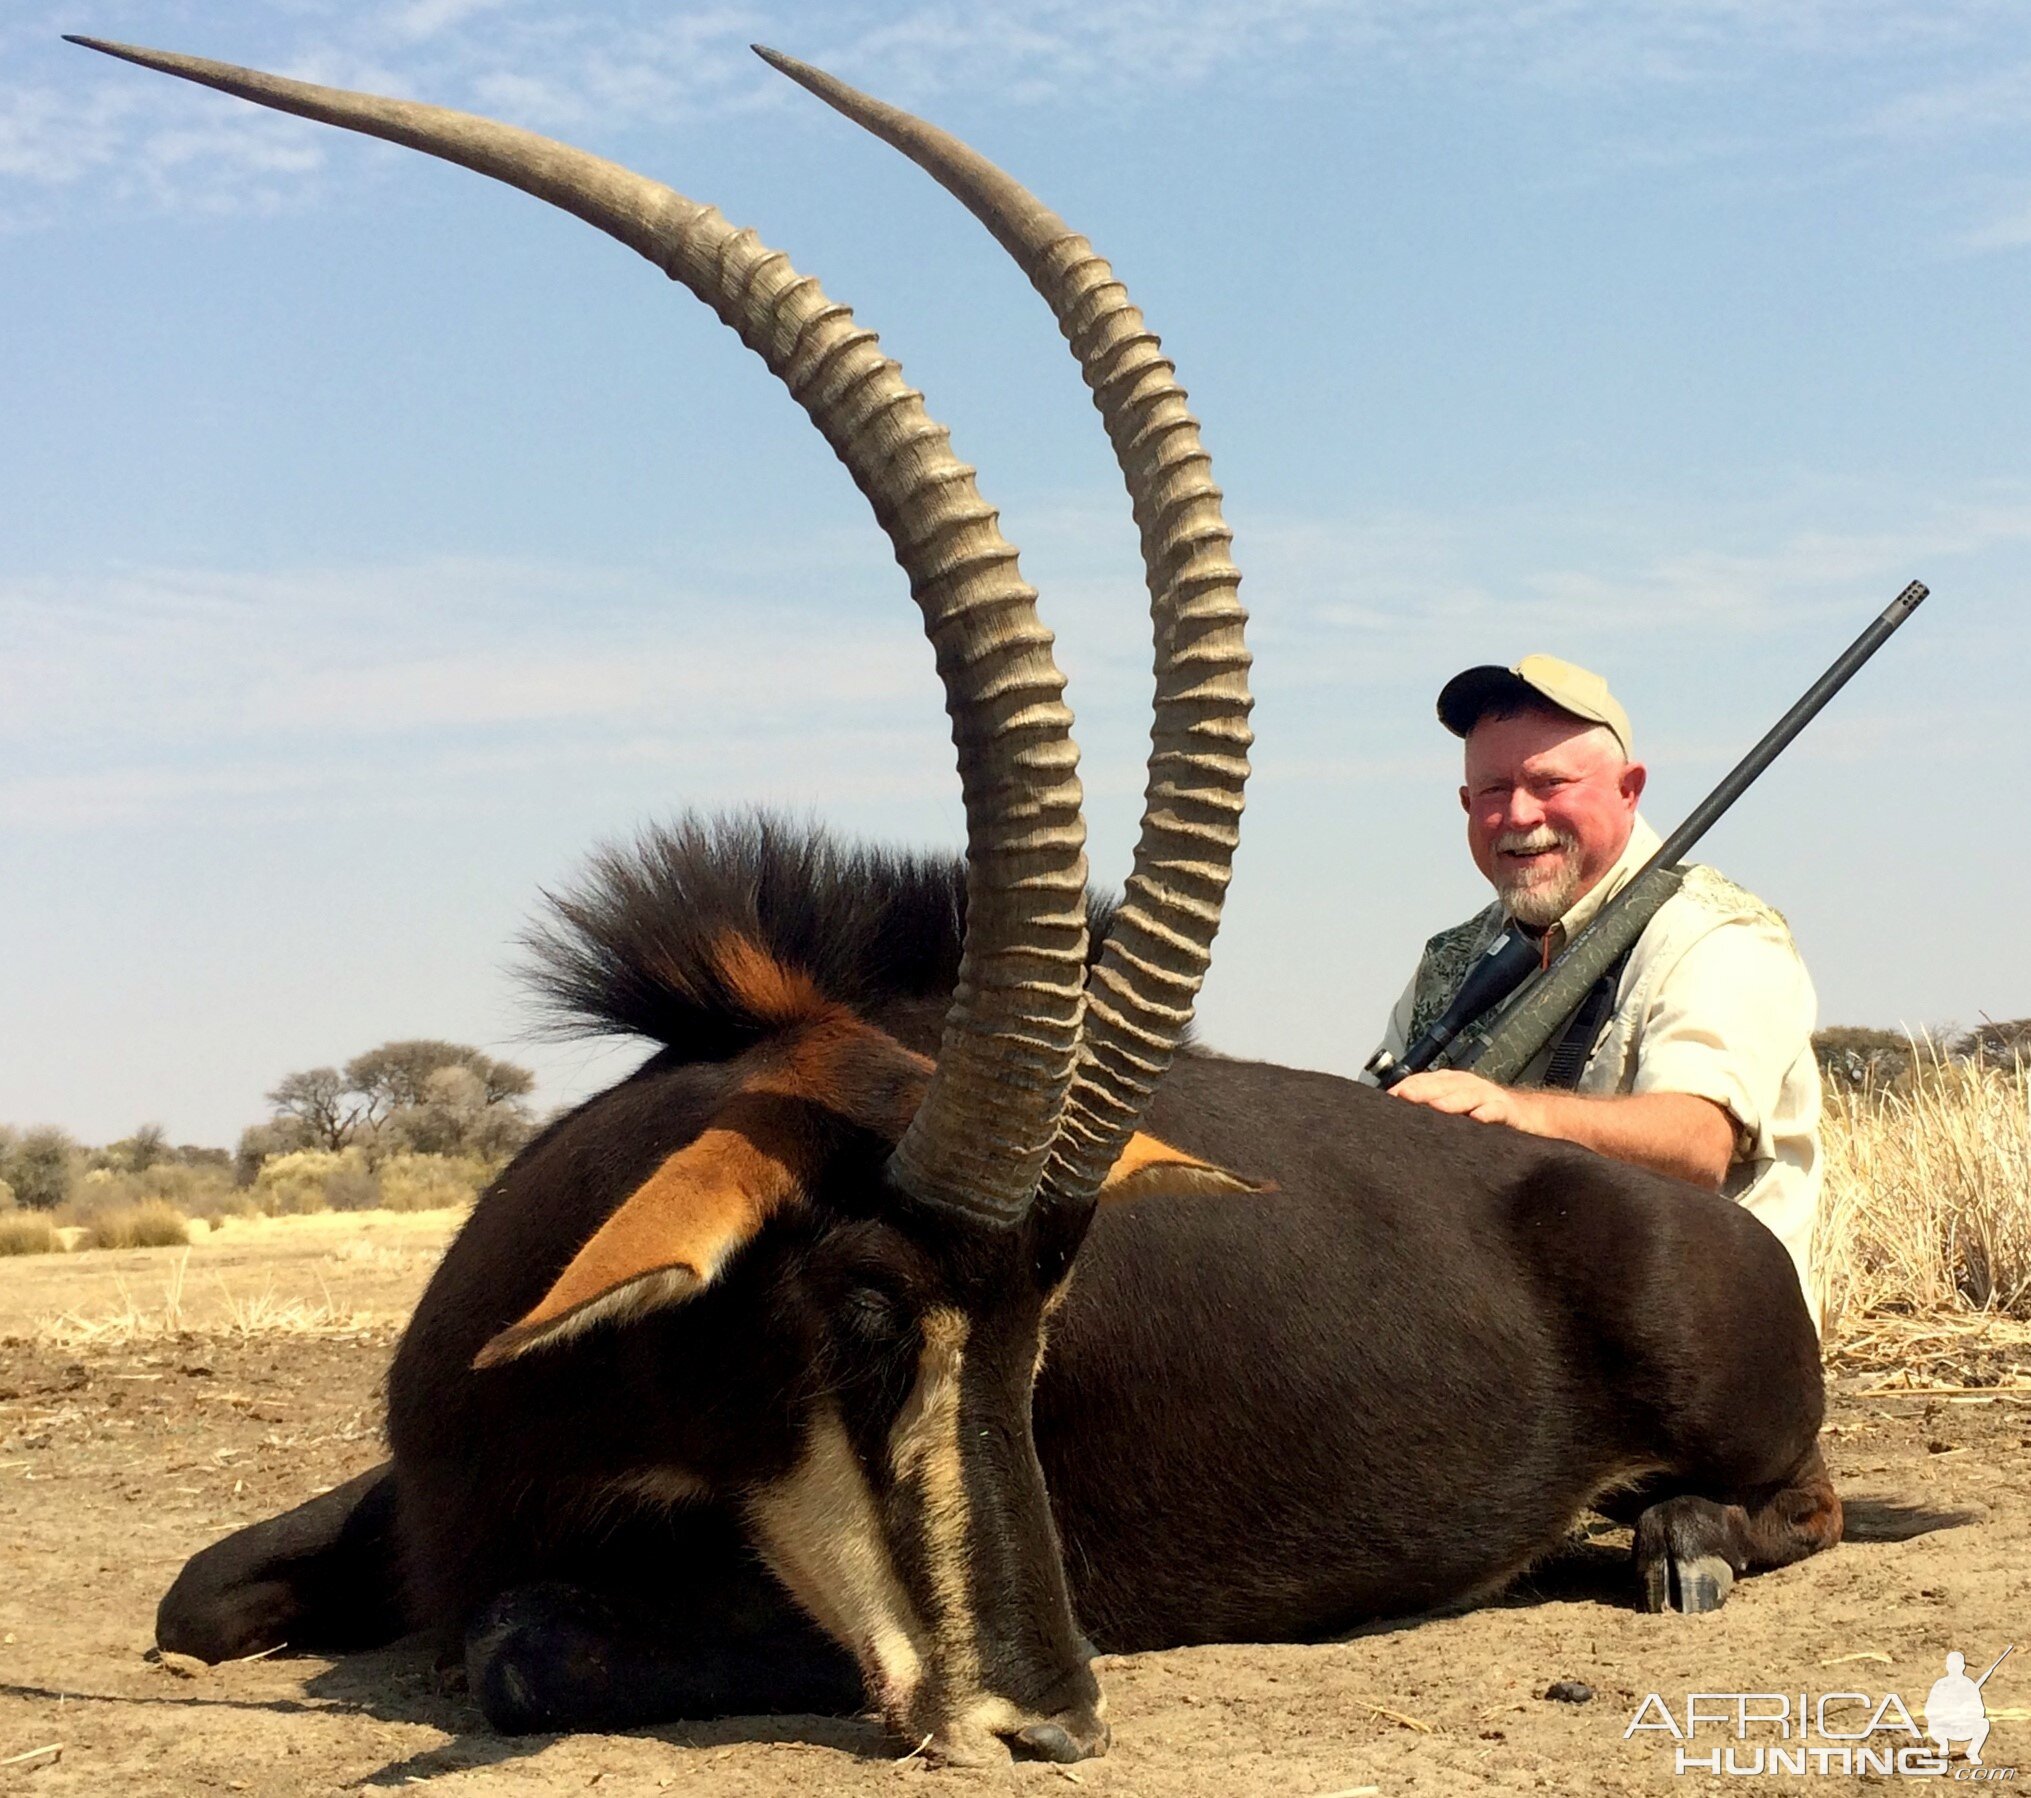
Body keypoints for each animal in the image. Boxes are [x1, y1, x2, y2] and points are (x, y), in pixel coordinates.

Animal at [79, 35, 1836, 1763]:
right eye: (862, 1303)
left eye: (1043, 1311)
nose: (1045, 1715)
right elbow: (196, 1591)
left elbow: (518, 1643)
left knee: (1792, 1502)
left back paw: (1670, 1537)